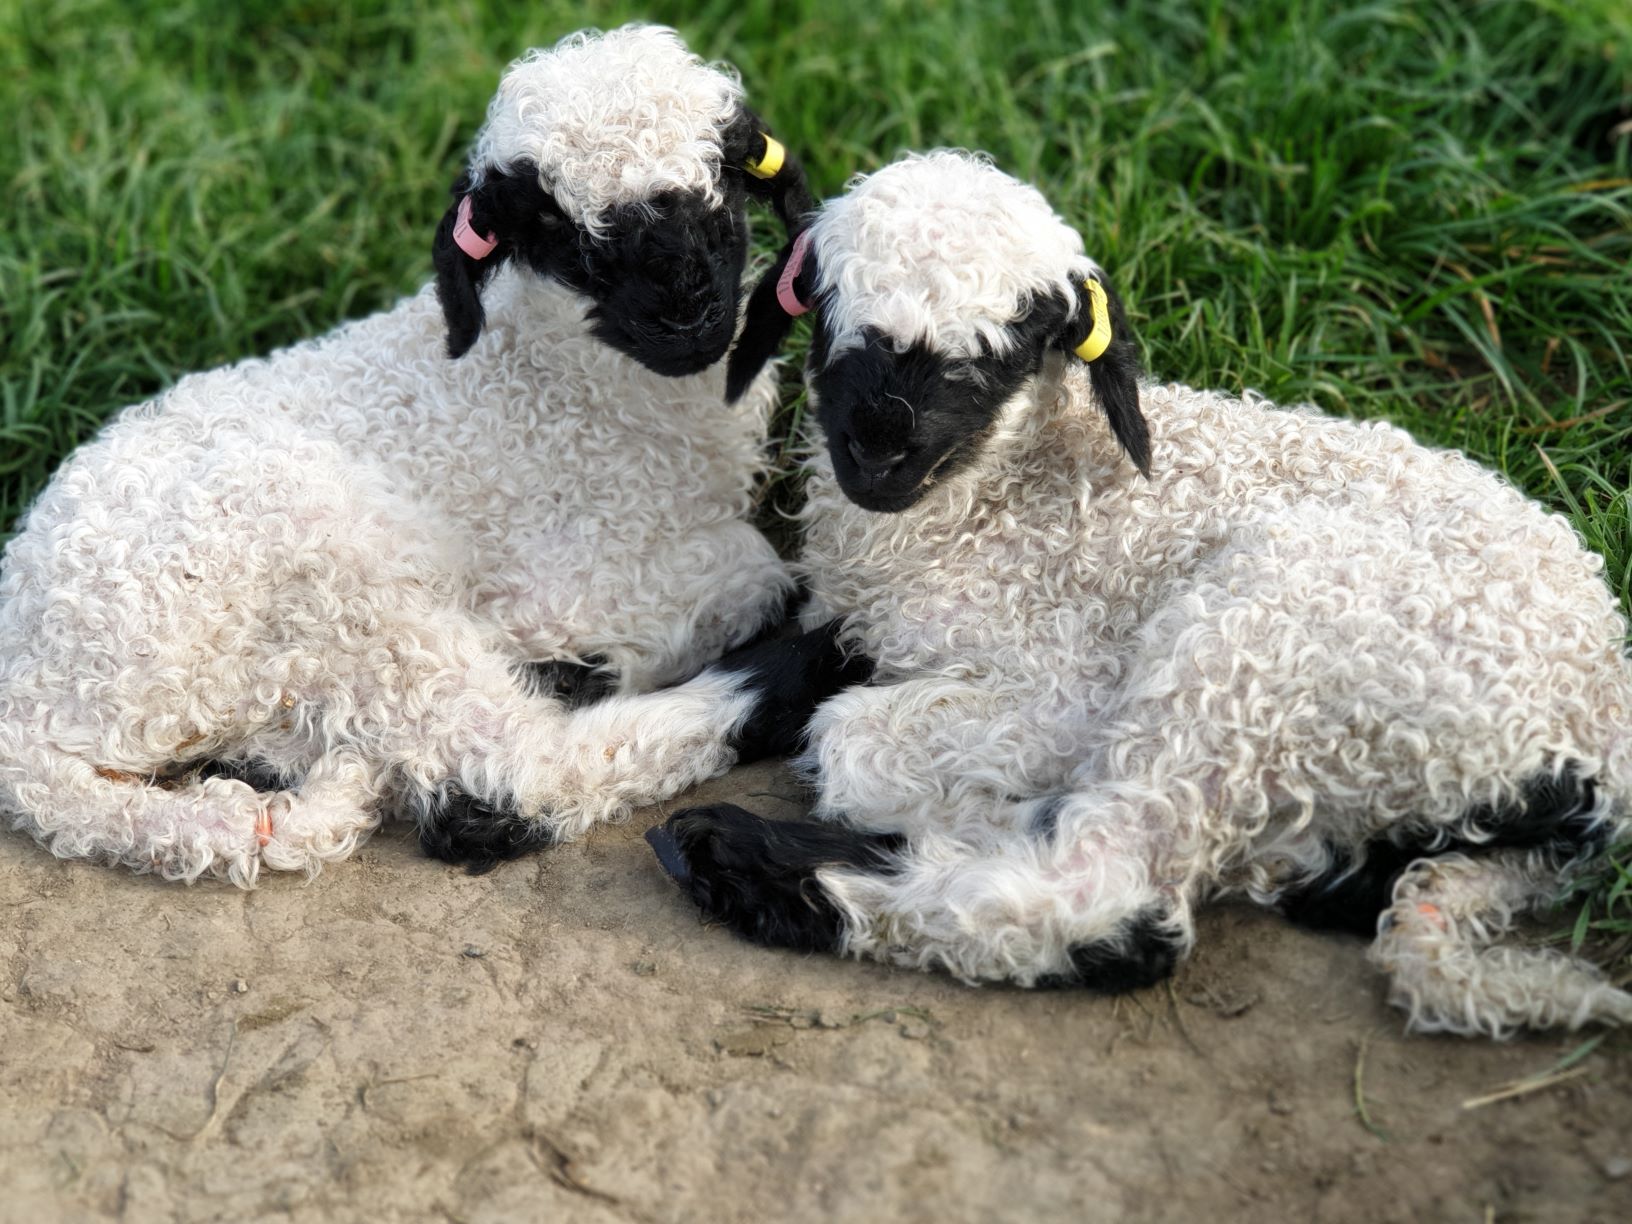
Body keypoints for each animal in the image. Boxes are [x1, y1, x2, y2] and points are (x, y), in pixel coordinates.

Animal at [0, 23, 816, 887]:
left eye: (723, 177)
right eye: (554, 227)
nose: (688, 308)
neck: (563, 384)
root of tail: (25, 720)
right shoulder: (568, 568)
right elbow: (754, 567)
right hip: (327, 572)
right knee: (499, 779)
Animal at [643, 148, 1632, 1037]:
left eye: (1011, 347)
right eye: (826, 311)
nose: (880, 447)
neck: (996, 506)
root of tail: (1594, 747)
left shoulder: (1070, 688)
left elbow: (848, 741)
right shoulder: (869, 614)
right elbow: (779, 678)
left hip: (1259, 639)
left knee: (1117, 897)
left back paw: (731, 857)